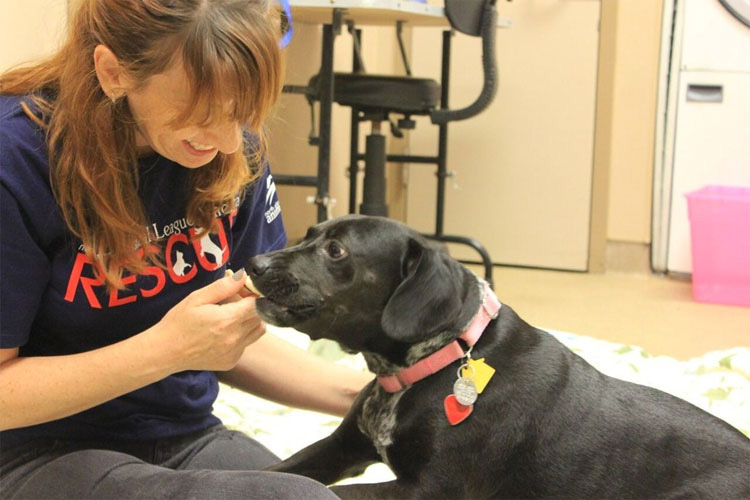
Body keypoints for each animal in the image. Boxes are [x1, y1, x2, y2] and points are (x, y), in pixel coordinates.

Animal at [251, 216, 750, 500]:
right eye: (308, 233)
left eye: (336, 250)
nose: (255, 263)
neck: (439, 359)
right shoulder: (341, 448)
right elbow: (273, 470)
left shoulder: (430, 490)